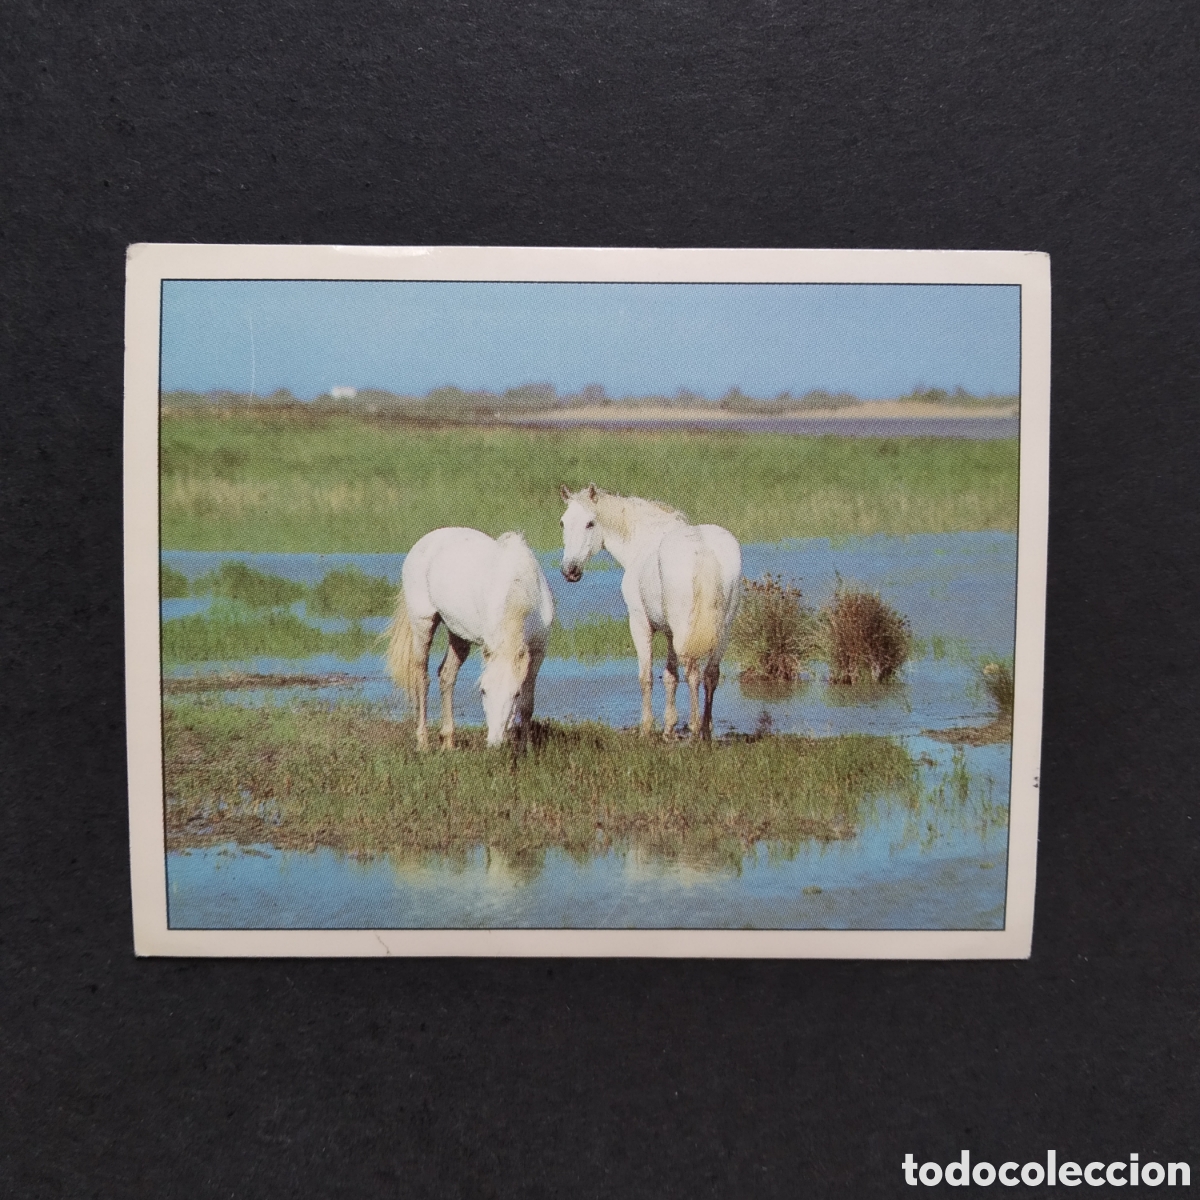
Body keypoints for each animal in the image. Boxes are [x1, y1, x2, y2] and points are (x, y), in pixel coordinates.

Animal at [386, 528, 555, 749]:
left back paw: (448, 742)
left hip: (458, 634)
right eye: (483, 691)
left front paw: (526, 748)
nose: (494, 743)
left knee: (447, 675)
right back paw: (423, 743)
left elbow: (527, 704)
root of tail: (427, 540)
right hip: (422, 624)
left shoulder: (537, 651)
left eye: (514, 694)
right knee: (422, 678)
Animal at [559, 485, 741, 740]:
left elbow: (646, 677)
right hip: (722, 631)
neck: (644, 540)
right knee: (710, 675)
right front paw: (668, 728)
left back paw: (695, 729)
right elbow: (670, 676)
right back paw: (705, 730)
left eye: (590, 523)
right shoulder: (670, 633)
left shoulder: (640, 623)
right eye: (563, 523)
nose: (570, 570)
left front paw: (646, 729)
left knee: (693, 674)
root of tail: (703, 550)